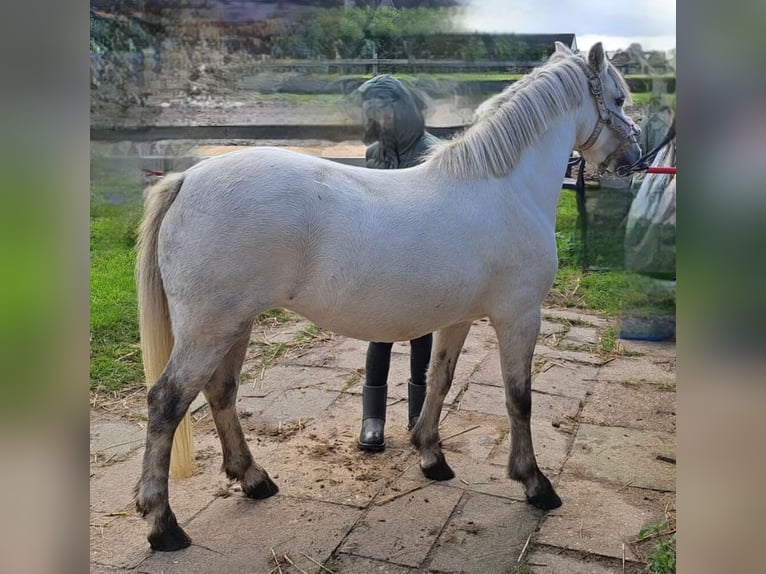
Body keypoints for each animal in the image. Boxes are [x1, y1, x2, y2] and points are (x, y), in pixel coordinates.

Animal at [135, 42, 640, 552]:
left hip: (234, 326)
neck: (505, 189)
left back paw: (253, 479)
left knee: (221, 392)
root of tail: (187, 179)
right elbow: (520, 399)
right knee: (167, 403)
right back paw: (163, 524)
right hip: (208, 331)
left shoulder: (458, 319)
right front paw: (535, 484)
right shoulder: (519, 317)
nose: (633, 158)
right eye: (618, 99)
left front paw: (431, 455)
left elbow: (439, 380)